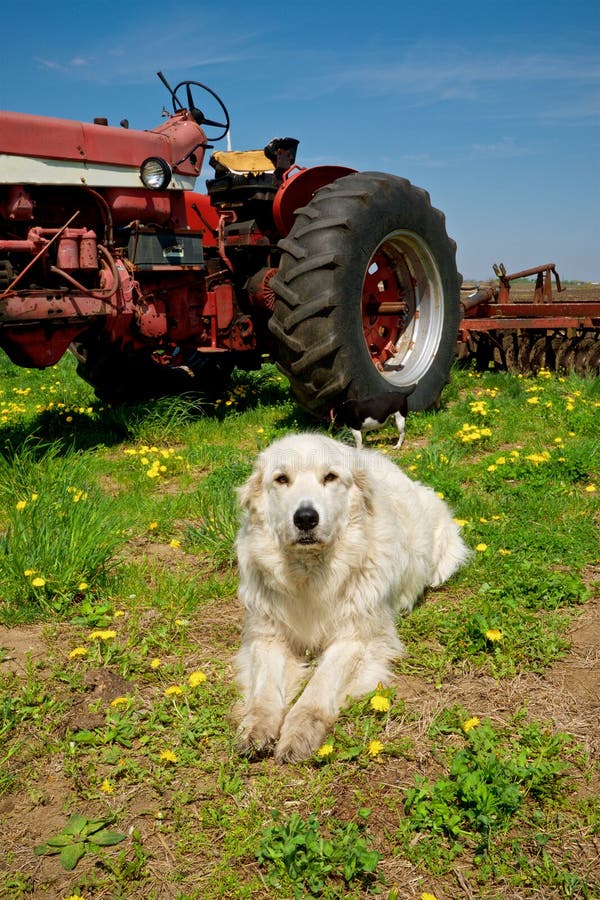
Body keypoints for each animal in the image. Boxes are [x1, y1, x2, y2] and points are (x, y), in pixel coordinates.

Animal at [234, 432, 468, 764]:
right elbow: (265, 688)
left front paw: (300, 731)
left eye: (330, 477)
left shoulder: (356, 639)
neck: (311, 574)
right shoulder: (267, 636)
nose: (306, 518)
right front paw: (256, 726)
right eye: (281, 479)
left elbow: (319, 686)